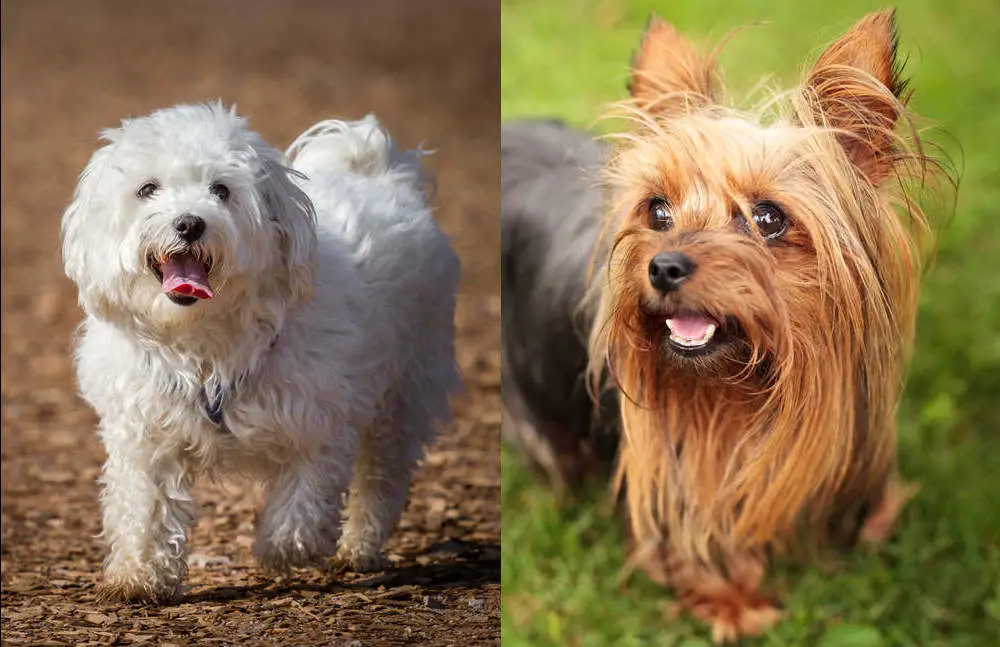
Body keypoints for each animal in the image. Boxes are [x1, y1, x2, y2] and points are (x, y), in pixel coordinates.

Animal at [64, 101, 462, 604]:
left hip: (405, 394)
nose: (189, 223)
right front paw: (139, 575)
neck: (204, 338)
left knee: (380, 478)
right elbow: (146, 508)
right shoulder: (146, 436)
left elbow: (303, 500)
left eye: (221, 190)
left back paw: (357, 547)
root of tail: (379, 171)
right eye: (147, 189)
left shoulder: (320, 423)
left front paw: (280, 550)